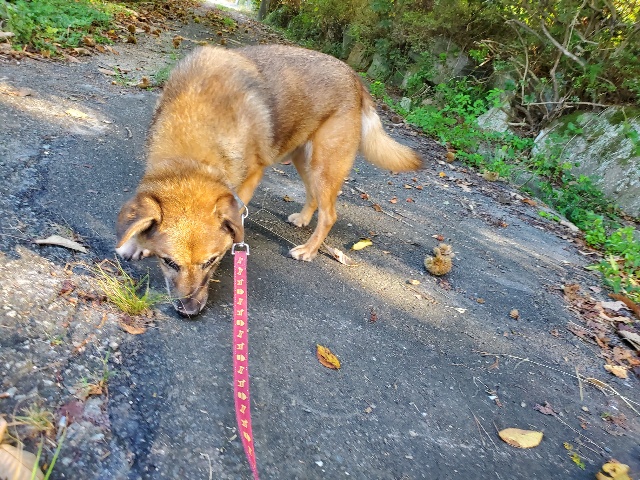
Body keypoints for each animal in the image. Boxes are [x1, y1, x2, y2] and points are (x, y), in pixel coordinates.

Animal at [116, 45, 422, 316]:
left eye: (211, 261)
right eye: (168, 262)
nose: (189, 311)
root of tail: (354, 77)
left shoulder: (251, 176)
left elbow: (238, 212)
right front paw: (135, 243)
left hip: (324, 165)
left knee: (329, 214)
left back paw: (309, 249)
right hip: (303, 160)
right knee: (312, 196)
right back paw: (303, 218)